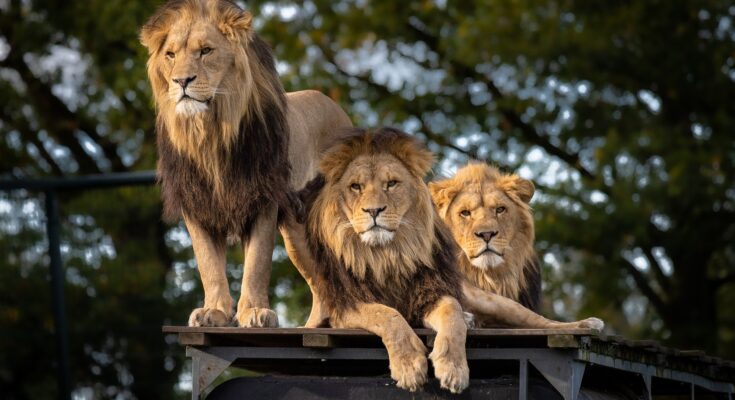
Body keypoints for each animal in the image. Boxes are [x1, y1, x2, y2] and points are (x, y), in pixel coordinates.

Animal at [140, 0, 350, 328]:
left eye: (206, 51)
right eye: (170, 55)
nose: (181, 81)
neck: (210, 134)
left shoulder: (263, 198)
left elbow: (257, 263)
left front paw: (254, 311)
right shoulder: (196, 203)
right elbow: (208, 265)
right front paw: (213, 311)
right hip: (297, 233)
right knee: (321, 282)